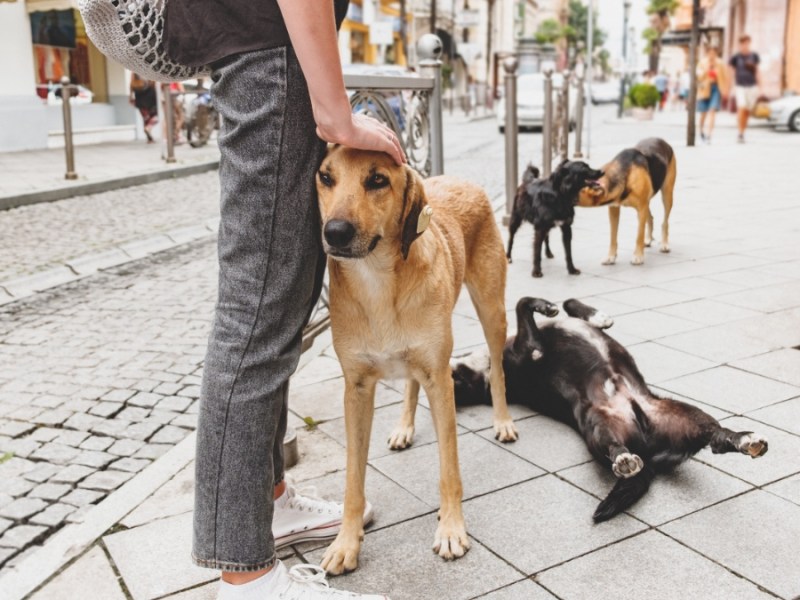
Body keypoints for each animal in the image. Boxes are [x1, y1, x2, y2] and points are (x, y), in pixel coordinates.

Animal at [450, 298, 768, 524]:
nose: (449, 372)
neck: (487, 372)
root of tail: (647, 450)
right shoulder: (531, 344)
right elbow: (522, 303)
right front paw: (547, 306)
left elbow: (568, 304)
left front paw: (595, 314)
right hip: (599, 428)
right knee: (617, 449)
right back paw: (625, 461)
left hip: (682, 413)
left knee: (717, 436)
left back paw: (744, 439)